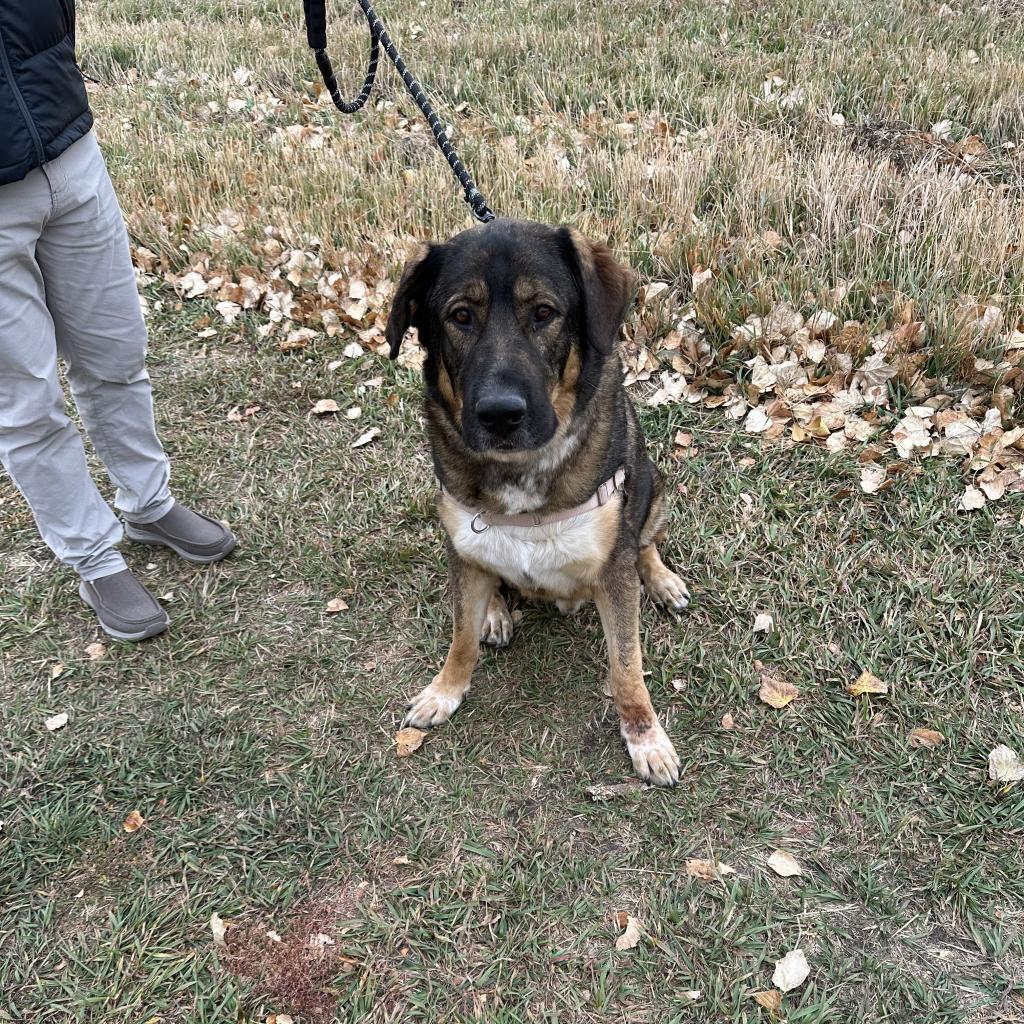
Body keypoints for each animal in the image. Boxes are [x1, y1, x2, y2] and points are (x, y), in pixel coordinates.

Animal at [387, 220, 692, 786]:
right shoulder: (461, 548)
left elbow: (626, 667)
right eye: (460, 315)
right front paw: (445, 690)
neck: (523, 473)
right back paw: (495, 612)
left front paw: (646, 738)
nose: (499, 414)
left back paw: (662, 581)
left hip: (653, 483)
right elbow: (460, 637)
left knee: (645, 542)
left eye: (544, 312)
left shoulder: (613, 571)